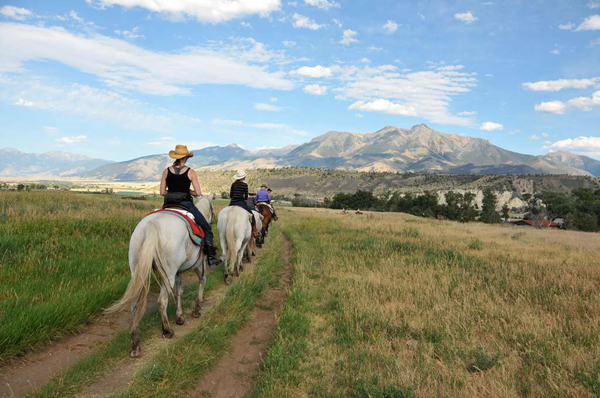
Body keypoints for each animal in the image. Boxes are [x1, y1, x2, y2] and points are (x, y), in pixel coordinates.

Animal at [105, 195, 216, 358]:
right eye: (212, 209)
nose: (211, 220)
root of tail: (151, 225)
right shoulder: (198, 264)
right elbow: (202, 281)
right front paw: (196, 309)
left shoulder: (178, 271)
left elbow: (179, 291)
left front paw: (179, 317)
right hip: (169, 272)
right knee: (162, 301)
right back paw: (167, 330)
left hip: (137, 270)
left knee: (135, 305)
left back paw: (135, 345)